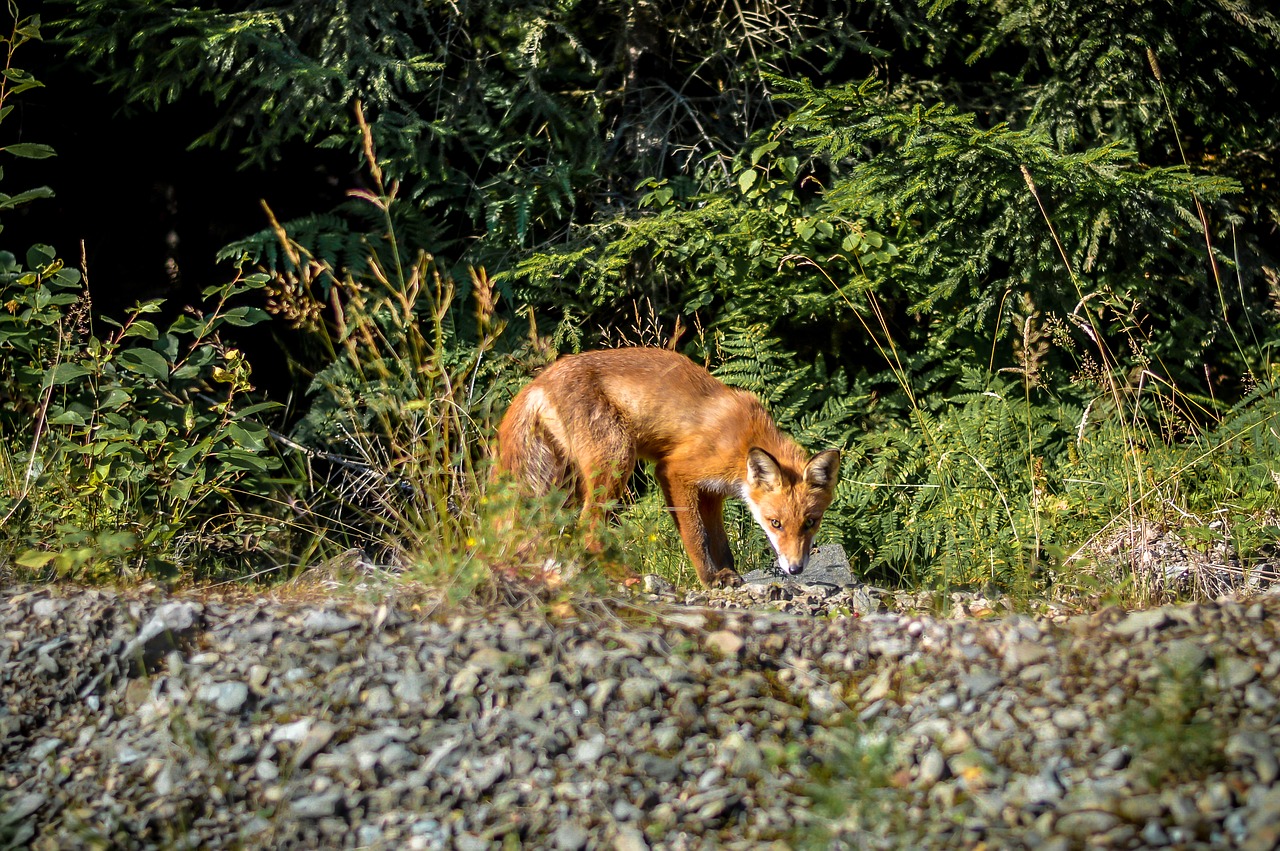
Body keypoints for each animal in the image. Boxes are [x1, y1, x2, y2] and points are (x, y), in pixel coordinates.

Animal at [496, 348, 839, 588]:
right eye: (775, 523)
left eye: (810, 522)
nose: (795, 568)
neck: (744, 439)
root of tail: (538, 382)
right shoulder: (674, 472)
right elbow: (696, 537)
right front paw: (709, 579)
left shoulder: (712, 492)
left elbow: (720, 543)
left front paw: (728, 574)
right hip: (617, 459)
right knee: (588, 529)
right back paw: (623, 576)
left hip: (563, 484)